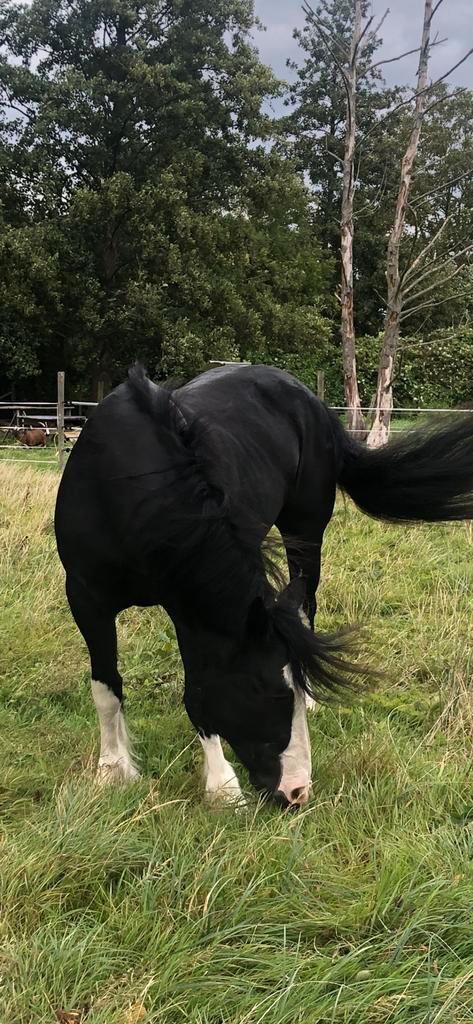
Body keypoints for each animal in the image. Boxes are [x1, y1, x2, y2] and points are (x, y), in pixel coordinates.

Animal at [54, 364, 473, 808]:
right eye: (269, 692)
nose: (298, 790)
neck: (129, 488)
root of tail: (308, 398)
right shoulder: (88, 599)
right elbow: (107, 687)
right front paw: (114, 770)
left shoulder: (190, 605)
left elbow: (199, 689)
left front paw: (221, 788)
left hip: (304, 530)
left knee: (306, 603)